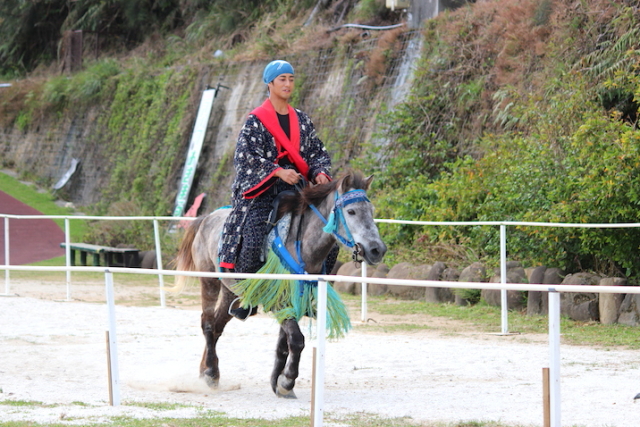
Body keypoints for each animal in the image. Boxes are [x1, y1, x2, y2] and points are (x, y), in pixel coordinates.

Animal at [172, 172, 388, 400]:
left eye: (371, 211)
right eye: (351, 211)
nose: (377, 249)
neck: (301, 245)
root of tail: (207, 218)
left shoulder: (296, 301)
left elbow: (284, 344)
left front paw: (278, 381)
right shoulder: (277, 300)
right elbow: (297, 340)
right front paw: (286, 381)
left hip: (231, 291)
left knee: (217, 326)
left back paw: (206, 371)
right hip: (209, 281)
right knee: (208, 324)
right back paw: (211, 373)